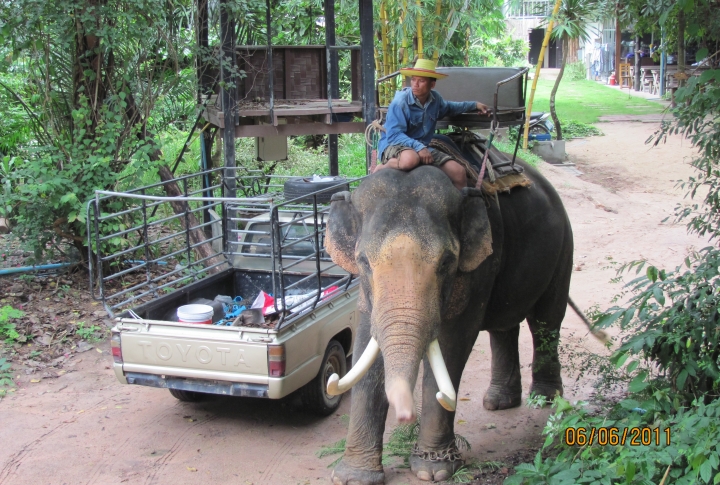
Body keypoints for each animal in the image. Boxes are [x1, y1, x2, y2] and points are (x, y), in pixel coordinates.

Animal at [324, 163, 572, 484]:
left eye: (446, 262)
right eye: (363, 261)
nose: (405, 417)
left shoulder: (479, 268)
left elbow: (453, 343)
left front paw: (434, 471)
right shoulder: (366, 293)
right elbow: (367, 345)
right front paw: (353, 477)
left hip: (563, 246)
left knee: (547, 318)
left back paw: (544, 399)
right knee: (504, 327)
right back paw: (499, 402)